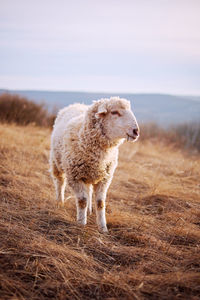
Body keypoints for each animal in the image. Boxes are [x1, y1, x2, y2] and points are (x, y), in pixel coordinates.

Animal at [50, 96, 139, 232]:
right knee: (60, 182)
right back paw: (60, 202)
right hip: (57, 162)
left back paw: (89, 211)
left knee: (89, 191)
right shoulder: (75, 176)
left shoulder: (105, 179)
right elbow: (82, 201)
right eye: (114, 112)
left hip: (90, 174)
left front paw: (103, 228)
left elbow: (100, 203)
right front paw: (81, 224)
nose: (136, 131)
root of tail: (76, 104)